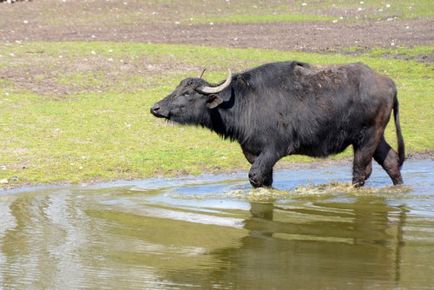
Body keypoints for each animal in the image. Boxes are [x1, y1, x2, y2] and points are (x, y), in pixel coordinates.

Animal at [151, 61, 406, 188]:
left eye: (187, 93)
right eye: (177, 88)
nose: (156, 108)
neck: (244, 102)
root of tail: (389, 83)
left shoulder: (274, 150)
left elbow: (255, 177)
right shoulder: (254, 152)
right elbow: (265, 180)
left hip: (366, 137)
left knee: (361, 171)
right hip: (375, 137)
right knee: (392, 161)